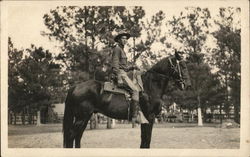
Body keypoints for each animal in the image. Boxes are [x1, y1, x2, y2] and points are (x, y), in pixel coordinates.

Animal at [63, 54, 191, 148]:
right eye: (182, 66)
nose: (187, 85)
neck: (150, 86)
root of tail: (75, 87)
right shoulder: (149, 117)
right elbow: (147, 139)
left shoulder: (146, 119)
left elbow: (144, 139)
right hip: (81, 117)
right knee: (71, 135)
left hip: (85, 117)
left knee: (78, 136)